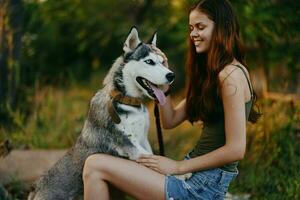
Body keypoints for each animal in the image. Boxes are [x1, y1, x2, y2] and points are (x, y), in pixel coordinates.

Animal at [29, 27, 175, 200]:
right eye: (149, 62)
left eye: (162, 61)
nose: (171, 75)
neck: (128, 101)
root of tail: (35, 189)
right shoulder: (129, 144)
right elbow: (156, 159)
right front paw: (182, 175)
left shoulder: (143, 139)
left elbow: (156, 158)